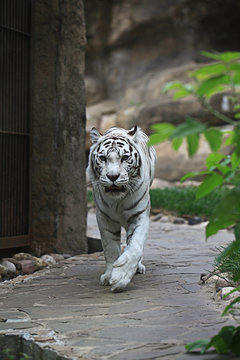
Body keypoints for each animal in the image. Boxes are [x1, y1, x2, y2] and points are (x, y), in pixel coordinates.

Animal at [87, 125, 157, 292]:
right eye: (103, 158)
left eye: (124, 158)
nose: (113, 176)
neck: (118, 201)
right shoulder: (104, 217)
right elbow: (110, 248)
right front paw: (109, 276)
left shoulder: (140, 215)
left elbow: (135, 246)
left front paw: (120, 277)